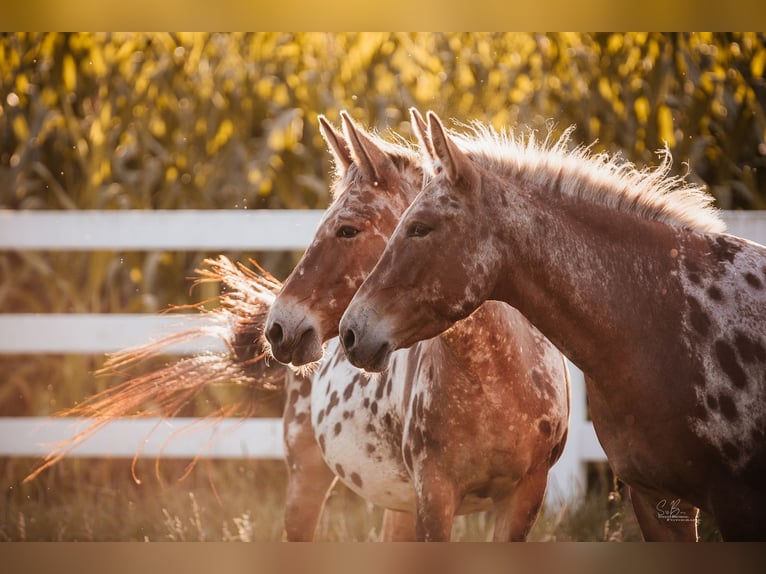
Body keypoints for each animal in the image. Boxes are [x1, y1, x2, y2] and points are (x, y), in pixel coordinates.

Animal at [265, 111, 570, 541]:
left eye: (347, 229)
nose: (278, 327)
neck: (498, 377)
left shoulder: (524, 498)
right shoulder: (435, 497)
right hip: (305, 483)